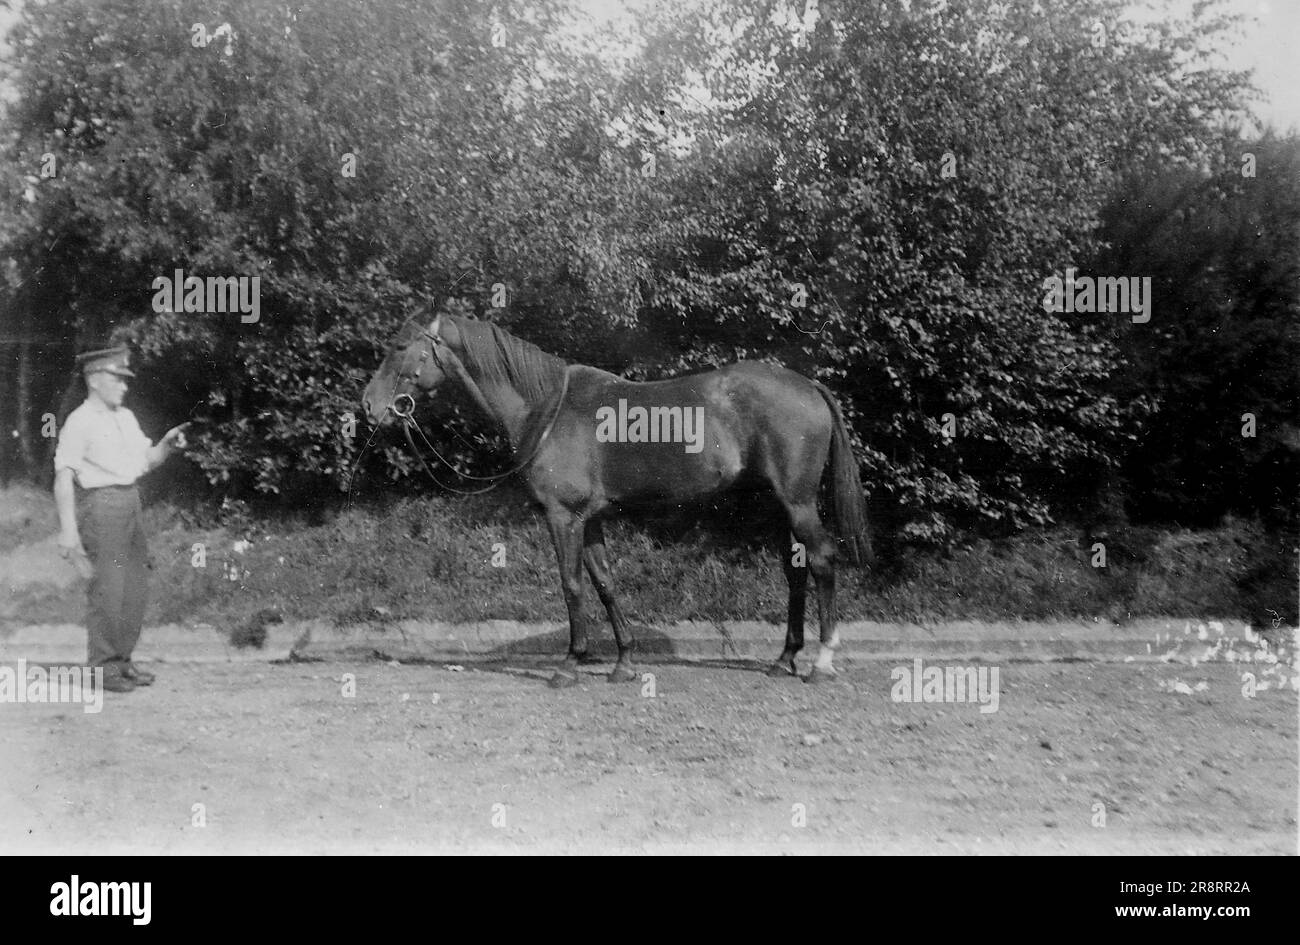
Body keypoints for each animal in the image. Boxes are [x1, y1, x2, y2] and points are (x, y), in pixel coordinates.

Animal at [361, 311, 871, 687]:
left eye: (401, 347)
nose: (369, 405)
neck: (547, 408)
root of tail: (808, 386)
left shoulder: (562, 517)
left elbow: (571, 586)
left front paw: (570, 665)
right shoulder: (591, 520)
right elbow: (605, 583)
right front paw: (624, 662)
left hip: (798, 503)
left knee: (822, 560)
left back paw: (821, 662)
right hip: (778, 504)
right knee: (796, 571)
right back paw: (784, 658)